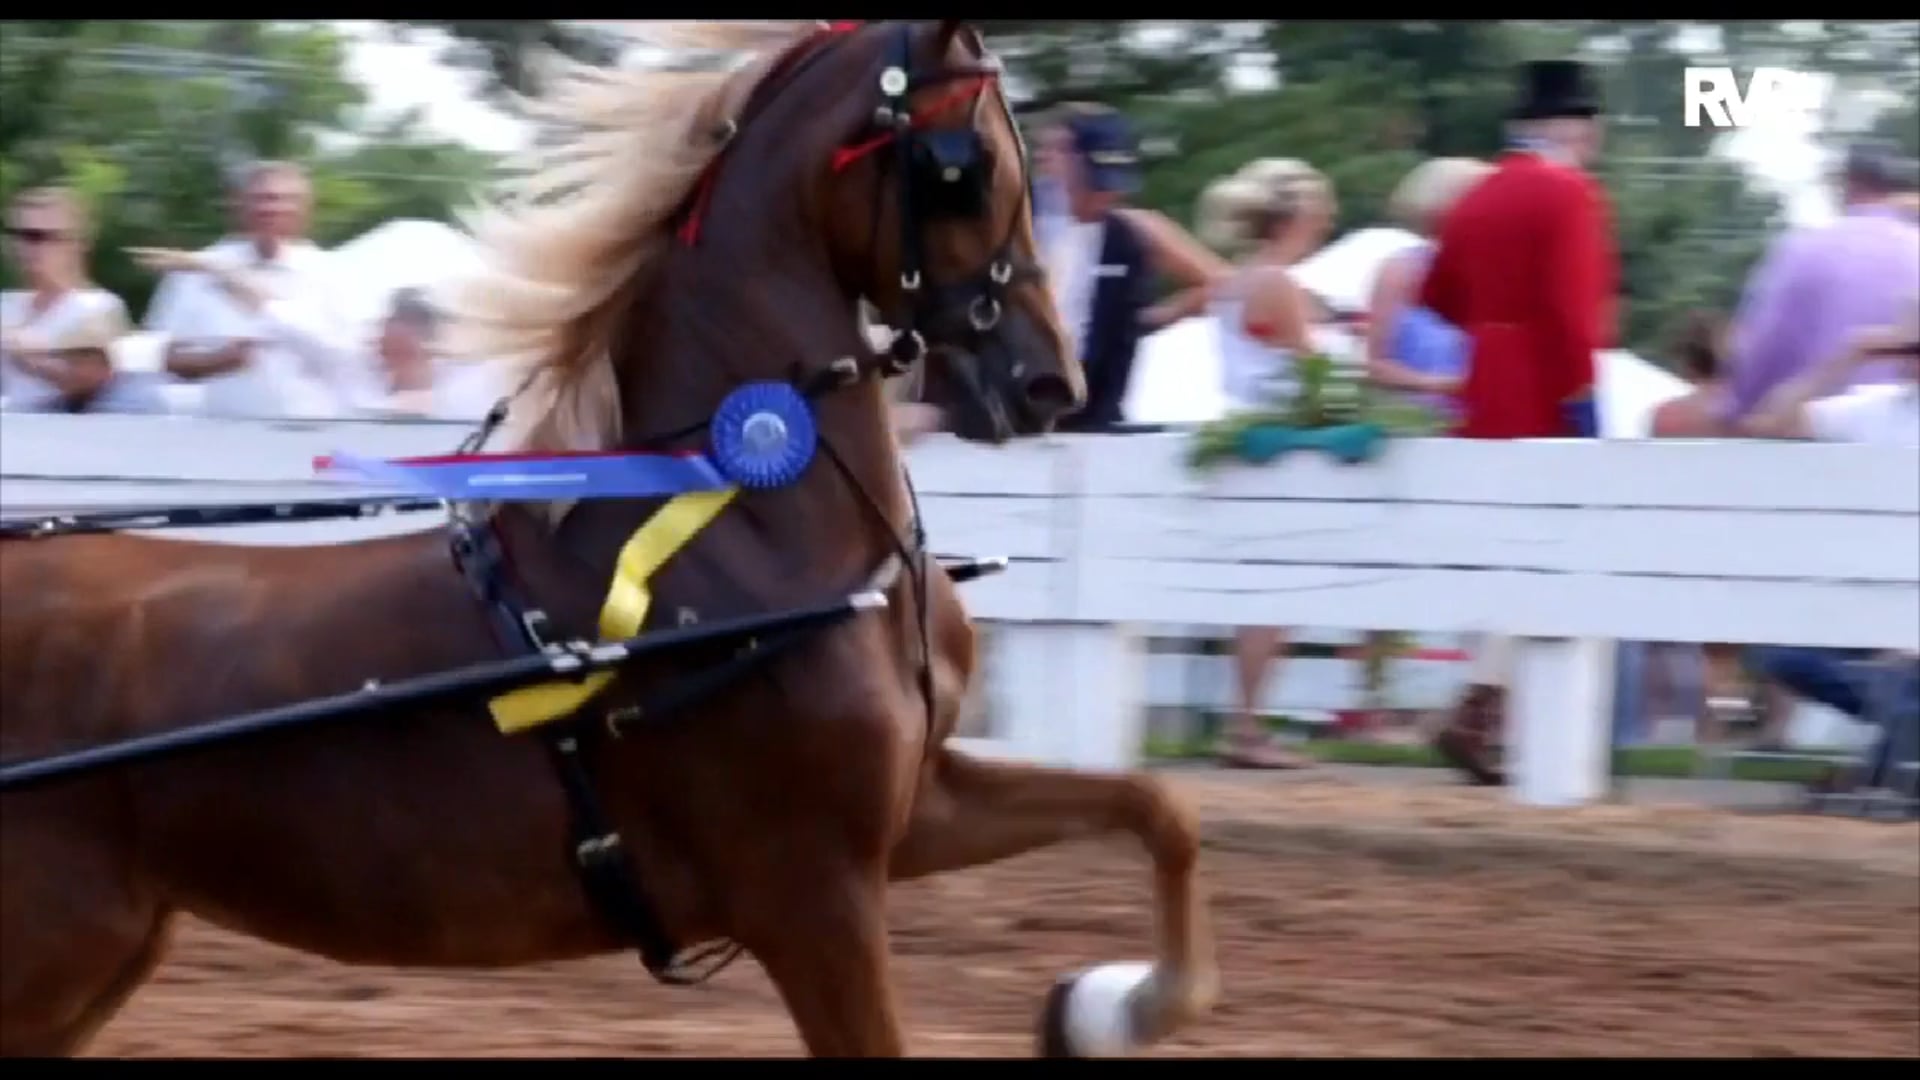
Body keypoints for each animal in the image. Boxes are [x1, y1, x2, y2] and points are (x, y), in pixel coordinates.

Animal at [0, 21, 1218, 1057]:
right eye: (962, 168)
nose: (1050, 381)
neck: (749, 538)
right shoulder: (810, 891)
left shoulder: (911, 815)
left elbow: (1156, 808)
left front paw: (1117, 1008)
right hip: (57, 951)